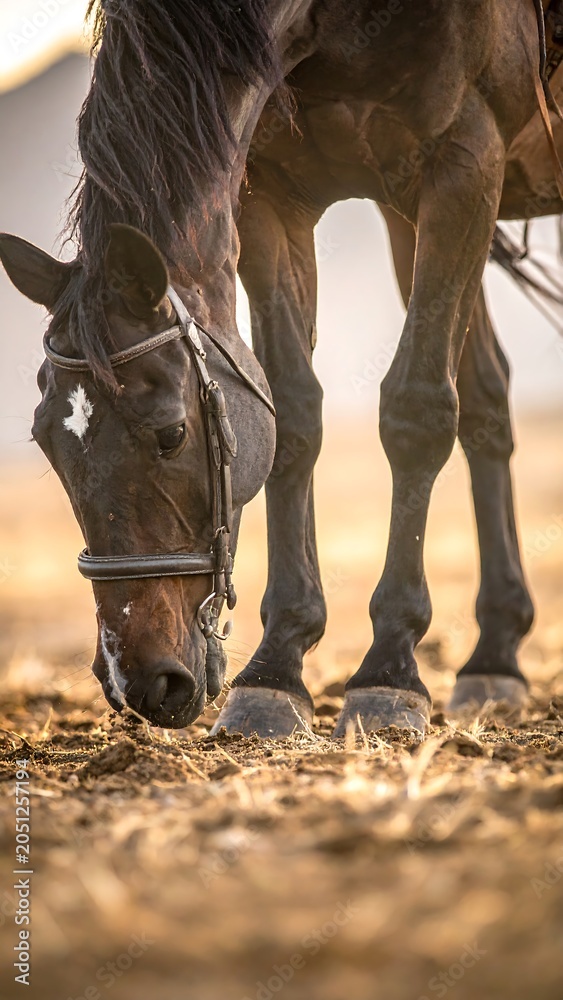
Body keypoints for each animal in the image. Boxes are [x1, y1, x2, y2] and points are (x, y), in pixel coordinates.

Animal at [0, 0, 553, 737]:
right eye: (45, 444)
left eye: (171, 433)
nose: (138, 681)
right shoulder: (270, 194)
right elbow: (291, 417)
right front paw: (276, 670)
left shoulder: (464, 160)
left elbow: (417, 411)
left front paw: (389, 669)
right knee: (487, 401)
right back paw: (494, 656)